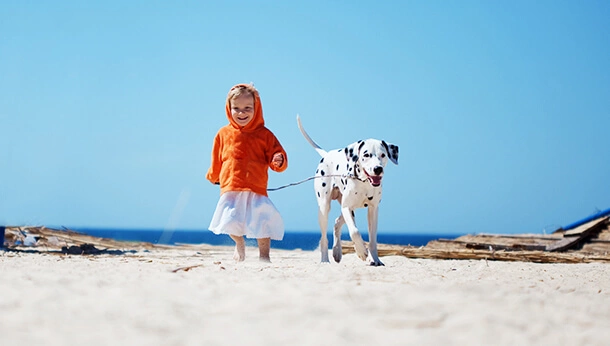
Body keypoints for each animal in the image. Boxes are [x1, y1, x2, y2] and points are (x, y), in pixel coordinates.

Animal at [296, 115, 400, 266]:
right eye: (366, 155)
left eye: (383, 155)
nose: (378, 169)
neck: (364, 182)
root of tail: (328, 155)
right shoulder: (347, 207)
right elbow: (355, 232)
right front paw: (361, 252)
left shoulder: (373, 209)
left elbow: (373, 240)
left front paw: (375, 259)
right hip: (324, 208)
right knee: (324, 237)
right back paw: (325, 259)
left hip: (349, 209)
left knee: (337, 223)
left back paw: (337, 251)